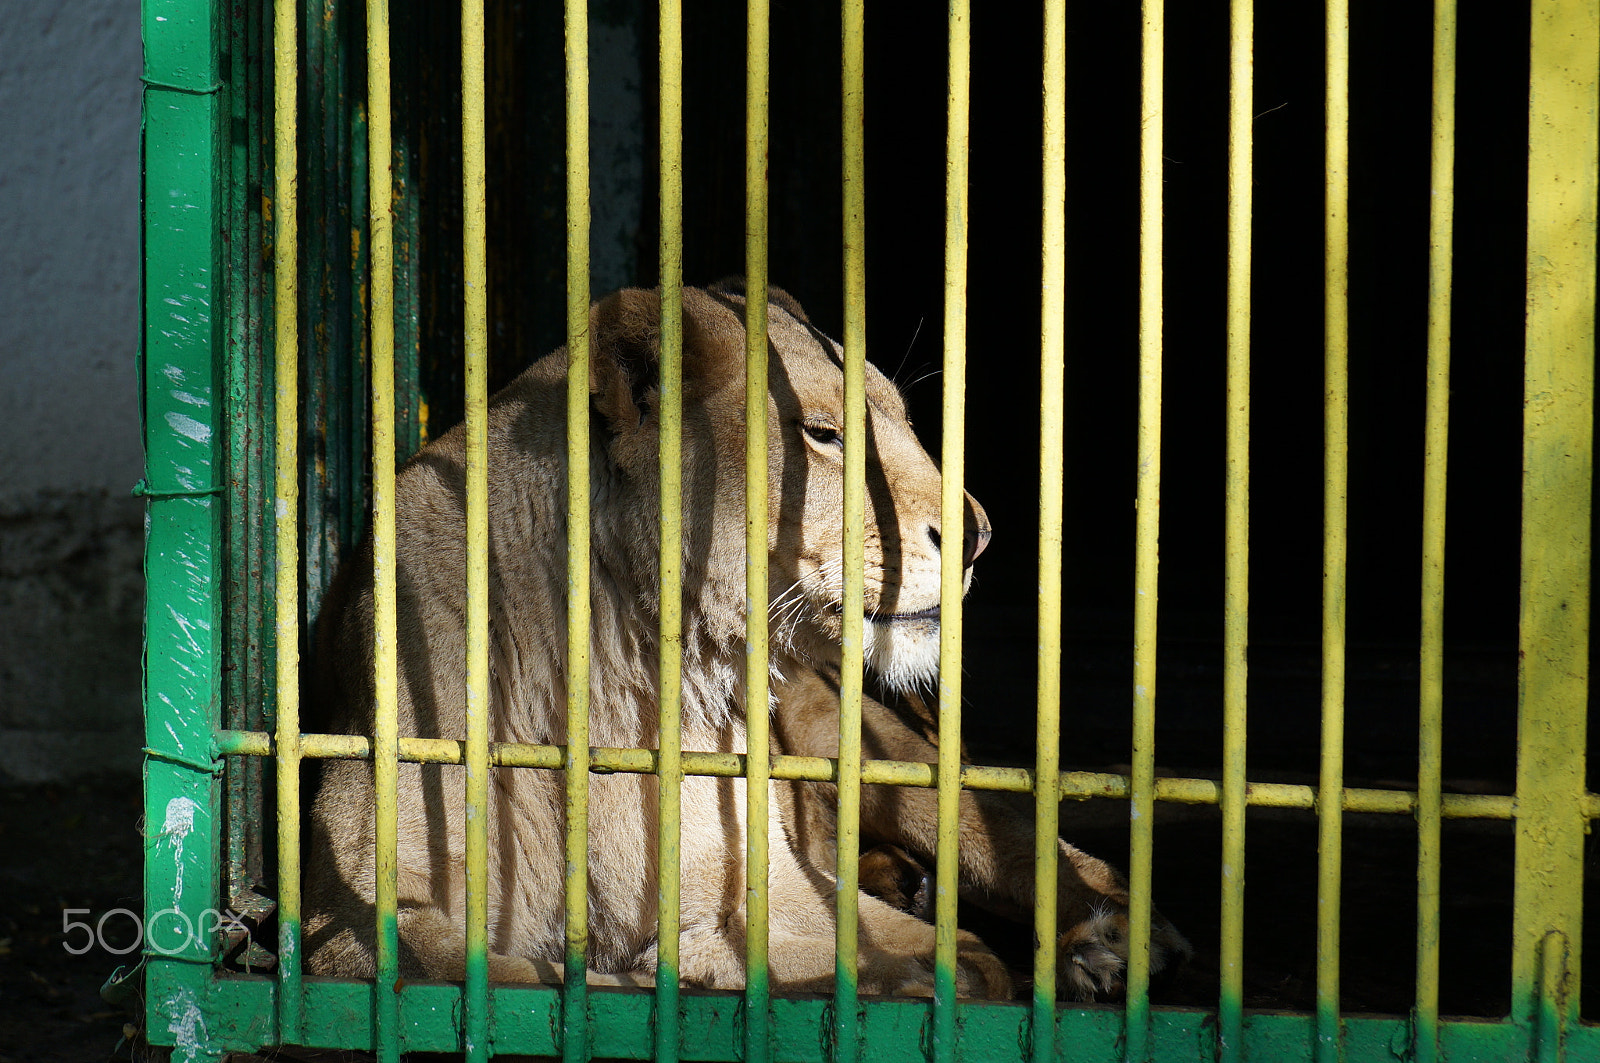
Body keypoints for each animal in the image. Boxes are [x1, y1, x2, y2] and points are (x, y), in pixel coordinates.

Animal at [302, 280, 1189, 1000]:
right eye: (825, 434)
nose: (980, 536)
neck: (613, 664)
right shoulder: (343, 909)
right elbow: (473, 967)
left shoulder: (757, 880)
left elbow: (939, 956)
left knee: (997, 825)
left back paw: (1113, 934)